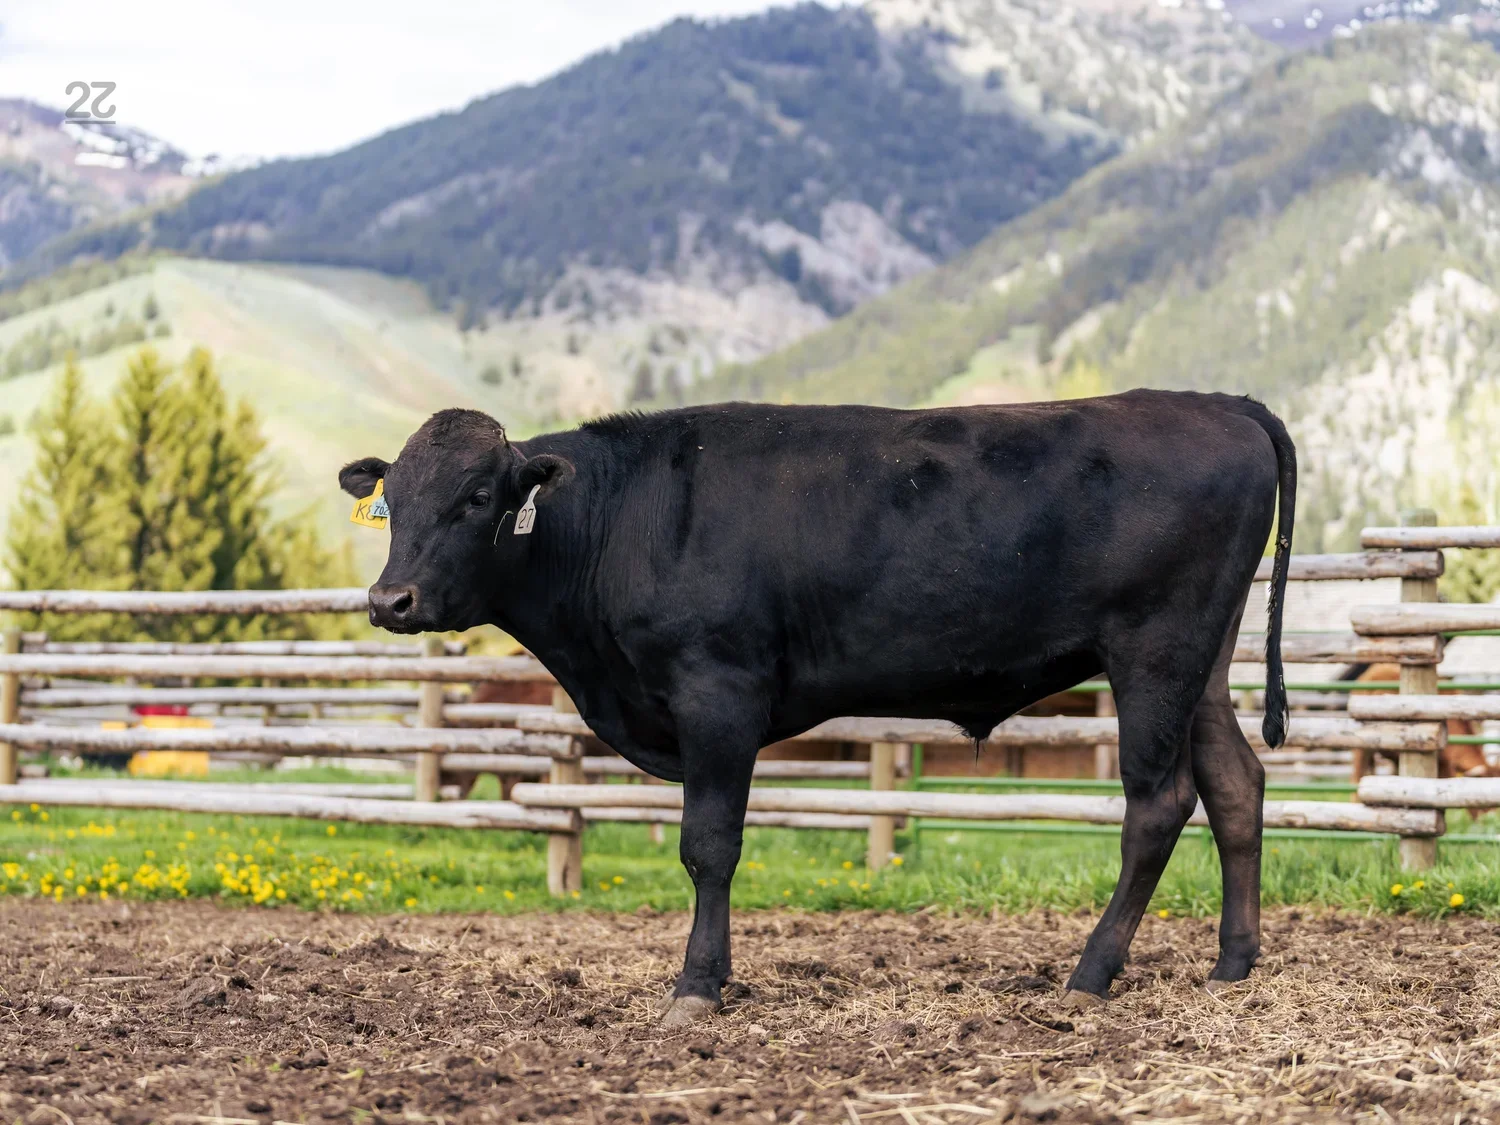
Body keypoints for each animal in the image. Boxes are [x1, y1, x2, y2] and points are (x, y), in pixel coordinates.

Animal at [339, 389, 1296, 1026]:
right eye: (394, 503)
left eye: (477, 498)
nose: (391, 600)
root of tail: (1210, 401)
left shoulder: (718, 694)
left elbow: (709, 846)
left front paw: (698, 986)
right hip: (1204, 664)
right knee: (1236, 784)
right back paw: (1231, 964)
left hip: (1154, 655)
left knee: (1158, 804)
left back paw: (1092, 973)